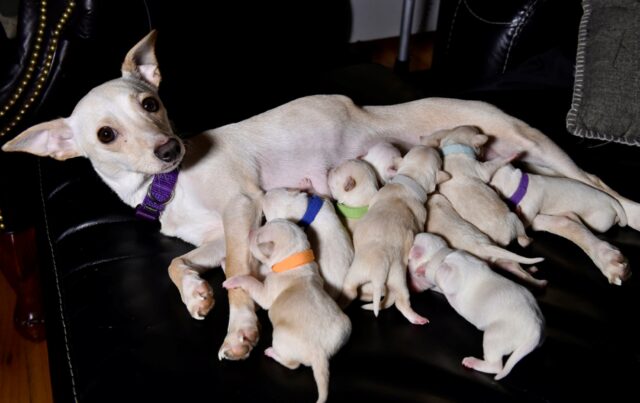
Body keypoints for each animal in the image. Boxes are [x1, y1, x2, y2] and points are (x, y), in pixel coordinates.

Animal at [221, 219, 350, 403]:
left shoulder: (265, 292)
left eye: (257, 238)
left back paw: (272, 353)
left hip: (280, 337)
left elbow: (251, 281)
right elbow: (255, 274)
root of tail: (320, 353)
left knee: (293, 365)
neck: (294, 259)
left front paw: (234, 279)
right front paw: (224, 263)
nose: (251, 231)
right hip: (345, 328)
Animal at [408, 234, 544, 382]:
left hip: (495, 336)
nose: (411, 289)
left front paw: (426, 267)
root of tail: (536, 329)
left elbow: (440, 269)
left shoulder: (452, 274)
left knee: (496, 366)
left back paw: (473, 362)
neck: (446, 252)